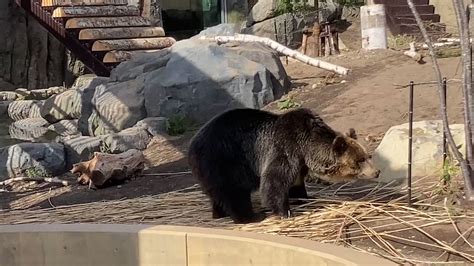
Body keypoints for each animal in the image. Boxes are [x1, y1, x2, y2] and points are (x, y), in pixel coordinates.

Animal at [187, 107, 380, 223]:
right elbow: (274, 181)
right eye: (360, 160)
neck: (307, 146)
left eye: (367, 155)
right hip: (225, 159)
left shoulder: (300, 161)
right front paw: (285, 212)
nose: (377, 172)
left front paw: (303, 197)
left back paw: (218, 212)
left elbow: (295, 181)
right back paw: (250, 216)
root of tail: (191, 147)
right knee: (233, 192)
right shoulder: (285, 147)